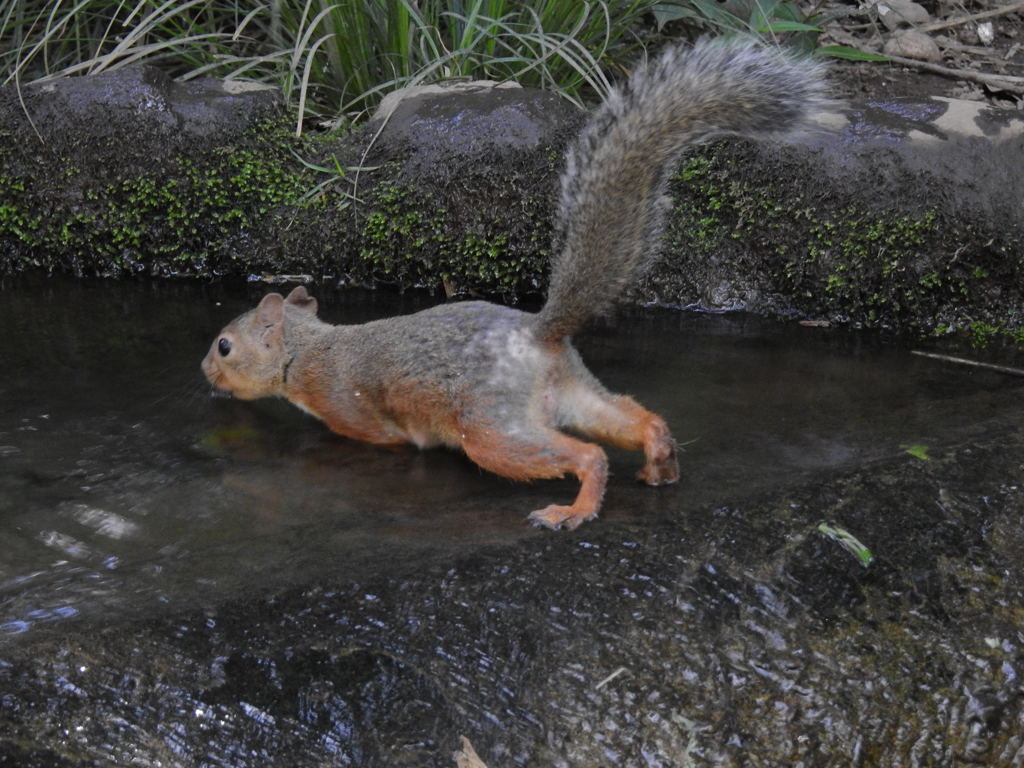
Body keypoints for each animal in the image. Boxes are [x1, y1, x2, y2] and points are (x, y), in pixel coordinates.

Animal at [199, 39, 831, 532]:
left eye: (225, 345)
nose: (204, 372)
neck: (308, 349)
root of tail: (538, 336)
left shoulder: (347, 407)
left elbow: (382, 438)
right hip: (576, 396)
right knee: (636, 419)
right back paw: (660, 464)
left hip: (490, 428)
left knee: (586, 454)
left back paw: (573, 510)